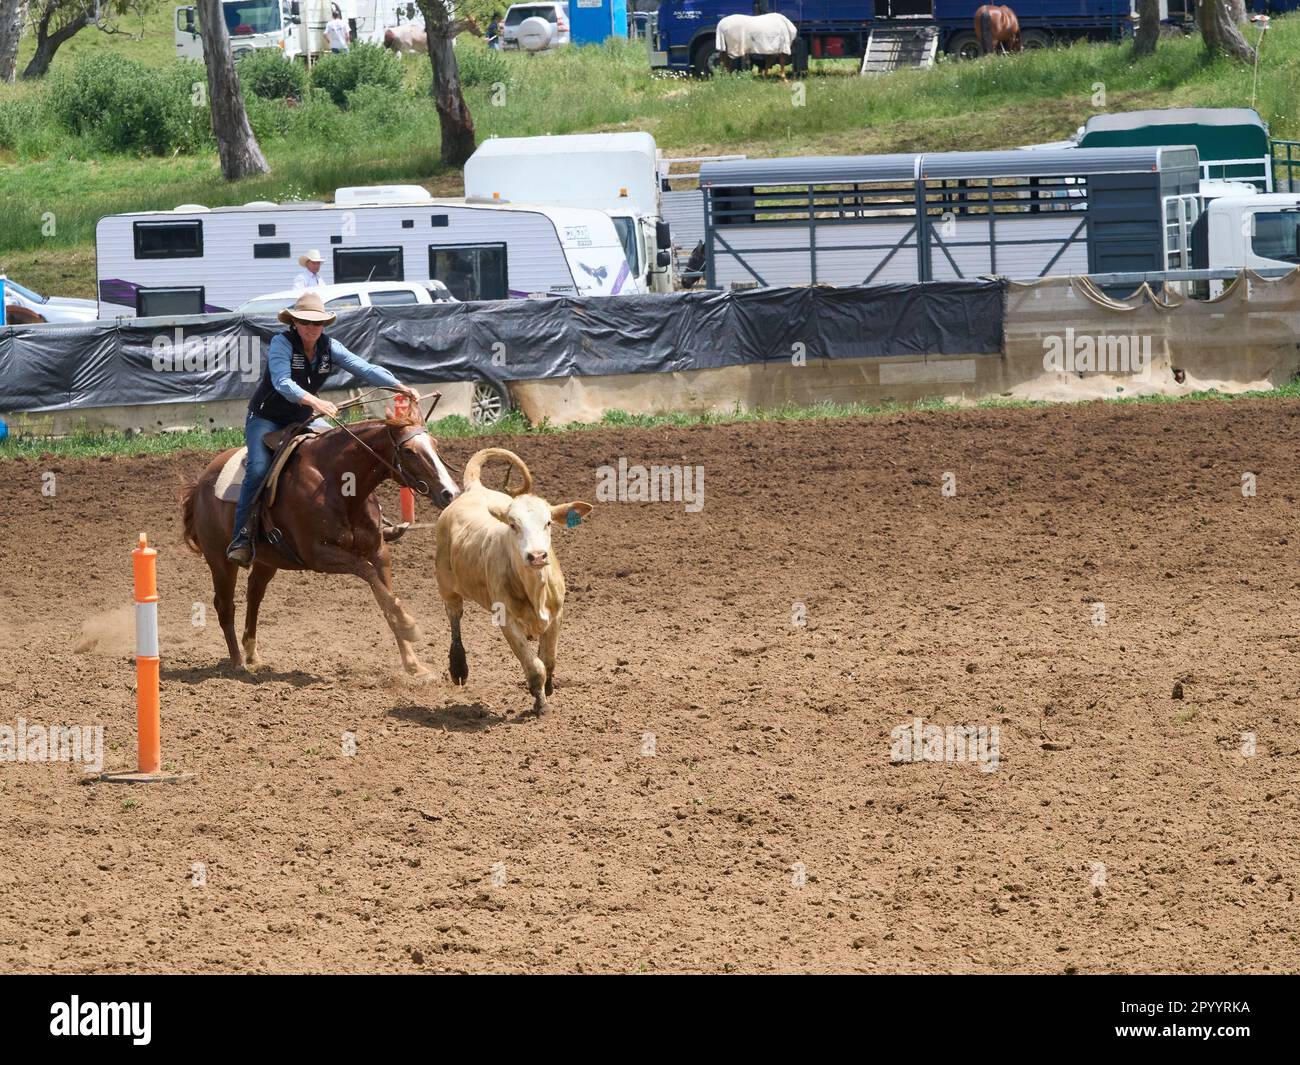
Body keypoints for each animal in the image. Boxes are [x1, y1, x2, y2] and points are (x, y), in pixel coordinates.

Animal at [180, 395, 460, 681]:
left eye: (435, 445)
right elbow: (368, 574)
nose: (450, 493)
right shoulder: (319, 555)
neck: (338, 482)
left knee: (254, 594)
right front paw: (409, 626)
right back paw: (237, 662)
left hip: (267, 560)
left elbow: (387, 599)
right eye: (409, 451)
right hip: (220, 561)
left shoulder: (379, 551)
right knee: (225, 605)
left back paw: (252, 654)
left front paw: (414, 666)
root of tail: (200, 483)